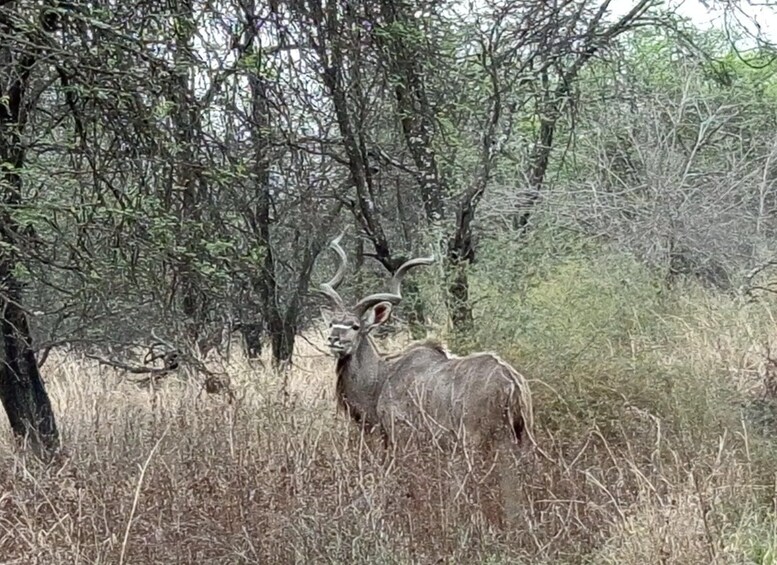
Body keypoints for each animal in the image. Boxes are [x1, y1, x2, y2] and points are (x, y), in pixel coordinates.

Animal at [317, 231, 536, 524]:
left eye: (354, 326)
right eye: (332, 323)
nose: (334, 340)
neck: (383, 377)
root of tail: (512, 382)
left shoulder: (401, 435)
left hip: (473, 441)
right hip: (516, 441)